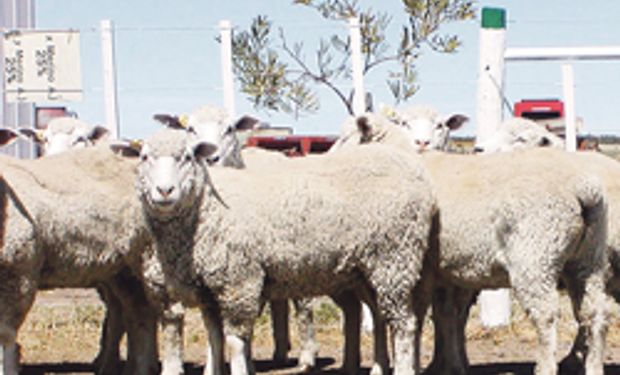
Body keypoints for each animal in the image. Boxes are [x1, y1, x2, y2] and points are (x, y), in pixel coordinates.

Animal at [115, 127, 436, 375]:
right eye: (144, 157)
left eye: (187, 157)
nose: (164, 191)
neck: (204, 209)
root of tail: (415, 172)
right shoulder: (210, 289)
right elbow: (214, 338)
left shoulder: (239, 281)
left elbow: (235, 342)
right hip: (366, 268)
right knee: (382, 317)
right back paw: (379, 367)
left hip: (395, 257)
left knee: (405, 325)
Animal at [336, 115, 608, 375]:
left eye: (345, 137)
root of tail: (584, 190)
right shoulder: (437, 270)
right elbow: (439, 314)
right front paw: (443, 365)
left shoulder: (415, 266)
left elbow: (421, 315)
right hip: (587, 260)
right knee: (593, 313)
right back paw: (593, 368)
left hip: (535, 257)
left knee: (546, 315)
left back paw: (545, 368)